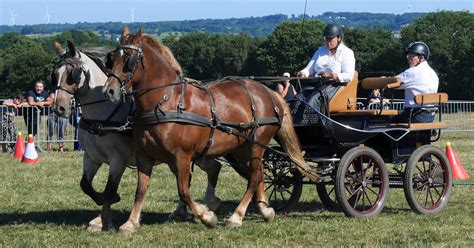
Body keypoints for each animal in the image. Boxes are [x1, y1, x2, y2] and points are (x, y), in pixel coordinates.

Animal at [51, 41, 224, 232]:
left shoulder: (118, 158)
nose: (59, 108)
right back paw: (192, 209)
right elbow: (86, 185)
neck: (102, 115)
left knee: (206, 171)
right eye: (55, 74)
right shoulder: (91, 157)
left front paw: (106, 219)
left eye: (73, 73)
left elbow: (110, 189)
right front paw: (102, 212)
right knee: (210, 169)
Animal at [103, 29, 318, 234]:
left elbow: (184, 190)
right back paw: (265, 209)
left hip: (258, 144)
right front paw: (130, 223)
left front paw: (207, 217)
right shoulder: (144, 155)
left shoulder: (182, 156)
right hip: (241, 147)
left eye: (129, 59)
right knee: (258, 174)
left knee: (254, 177)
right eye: (112, 59)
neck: (165, 102)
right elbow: (141, 190)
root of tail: (270, 93)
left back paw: (237, 217)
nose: (109, 91)